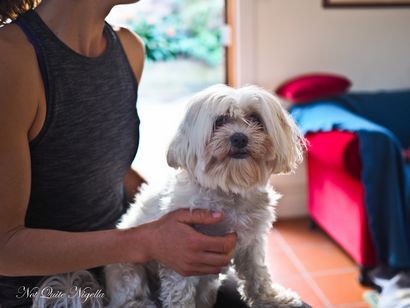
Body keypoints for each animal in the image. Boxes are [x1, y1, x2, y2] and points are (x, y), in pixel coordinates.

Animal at [104, 85, 306, 308]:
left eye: (254, 118)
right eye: (219, 121)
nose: (239, 138)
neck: (228, 188)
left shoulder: (251, 242)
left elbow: (257, 274)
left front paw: (271, 298)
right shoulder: (183, 252)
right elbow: (180, 291)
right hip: (128, 269)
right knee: (130, 295)